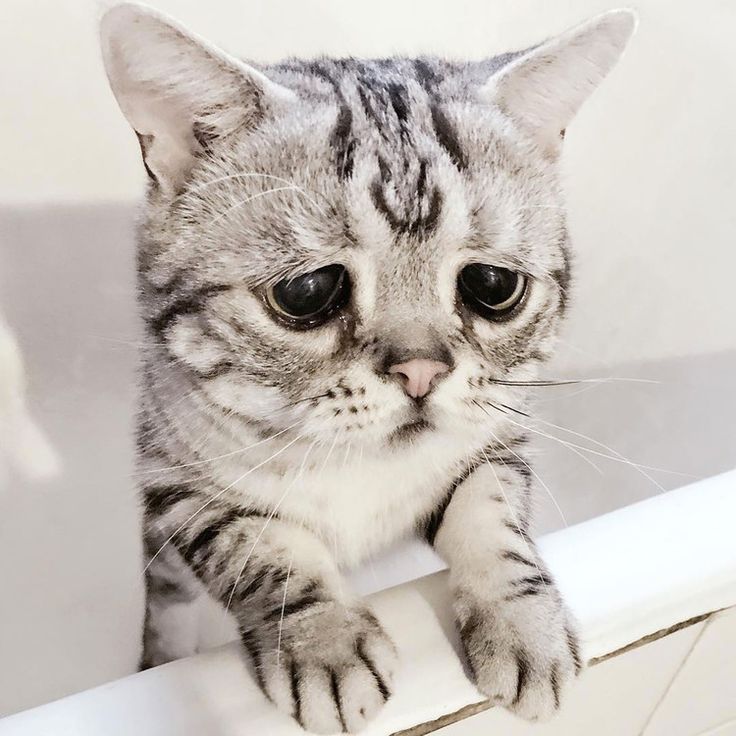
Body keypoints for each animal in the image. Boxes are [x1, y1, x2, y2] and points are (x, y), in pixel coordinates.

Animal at [100, 4, 636, 732]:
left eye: (493, 286)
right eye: (307, 291)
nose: (421, 372)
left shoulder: (498, 434)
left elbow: (492, 519)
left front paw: (525, 624)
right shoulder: (179, 485)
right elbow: (263, 551)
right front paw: (326, 643)